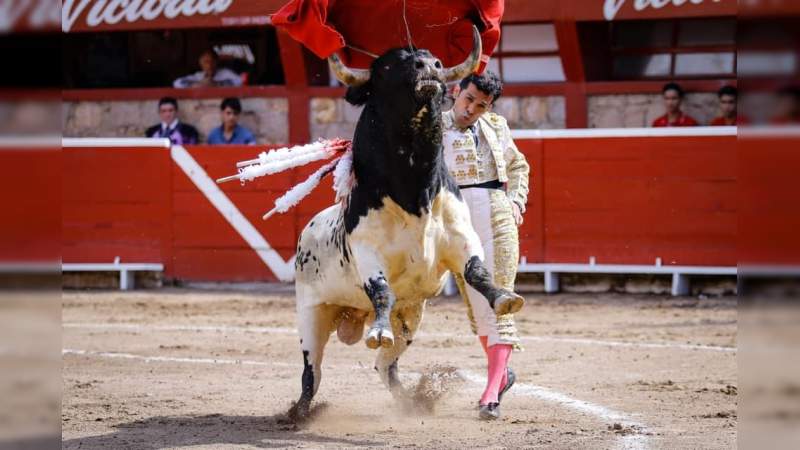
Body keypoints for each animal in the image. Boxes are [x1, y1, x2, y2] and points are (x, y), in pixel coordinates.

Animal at [290, 28, 520, 420]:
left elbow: (478, 271)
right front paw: (377, 331)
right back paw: (299, 412)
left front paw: (503, 297)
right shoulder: (367, 250)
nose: (429, 66)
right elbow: (381, 288)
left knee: (385, 366)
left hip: (410, 319)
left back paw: (412, 401)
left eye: (434, 58)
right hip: (310, 312)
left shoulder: (462, 237)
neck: (414, 191)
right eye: (386, 66)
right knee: (312, 371)